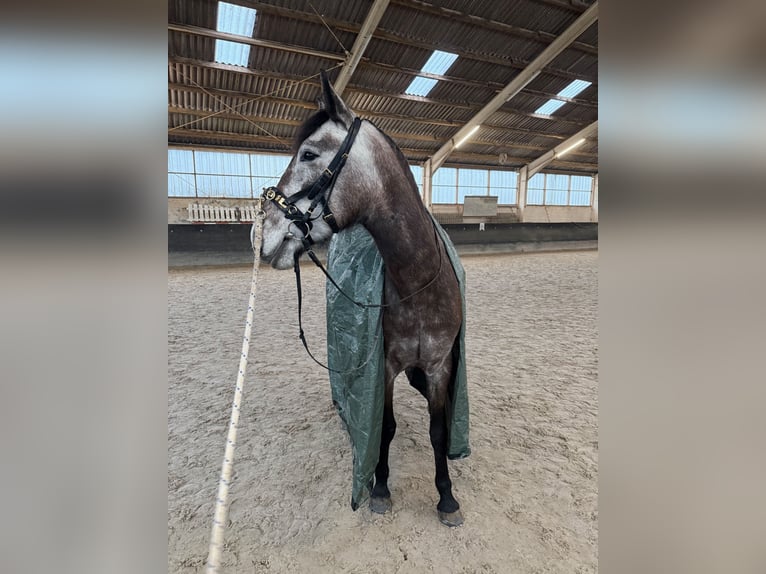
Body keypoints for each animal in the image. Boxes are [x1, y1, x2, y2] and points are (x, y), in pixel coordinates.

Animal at [258, 71, 465, 527]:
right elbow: (384, 426)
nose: (263, 233)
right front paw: (381, 488)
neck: (419, 284)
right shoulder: (383, 367)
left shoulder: (439, 367)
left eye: (309, 153)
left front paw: (447, 497)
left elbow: (438, 429)